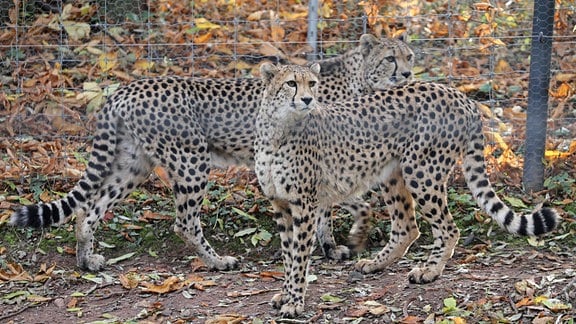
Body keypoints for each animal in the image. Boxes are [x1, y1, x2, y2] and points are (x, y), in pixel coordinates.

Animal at [10, 34, 414, 272]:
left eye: (409, 55)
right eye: (390, 59)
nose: (409, 74)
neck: (359, 80)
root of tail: (127, 88)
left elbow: (325, 211)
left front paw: (330, 246)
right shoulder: (323, 162)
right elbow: (347, 204)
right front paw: (349, 240)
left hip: (133, 164)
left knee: (90, 208)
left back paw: (86, 260)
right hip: (191, 161)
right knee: (184, 222)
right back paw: (219, 261)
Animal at [255, 62, 560, 316]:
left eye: (313, 83)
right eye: (291, 83)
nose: (308, 99)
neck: (277, 129)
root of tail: (458, 94)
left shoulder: (303, 204)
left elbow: (298, 256)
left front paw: (295, 301)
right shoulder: (280, 205)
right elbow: (288, 255)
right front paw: (286, 295)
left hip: (422, 173)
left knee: (448, 228)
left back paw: (430, 270)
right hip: (392, 174)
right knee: (407, 227)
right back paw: (376, 263)